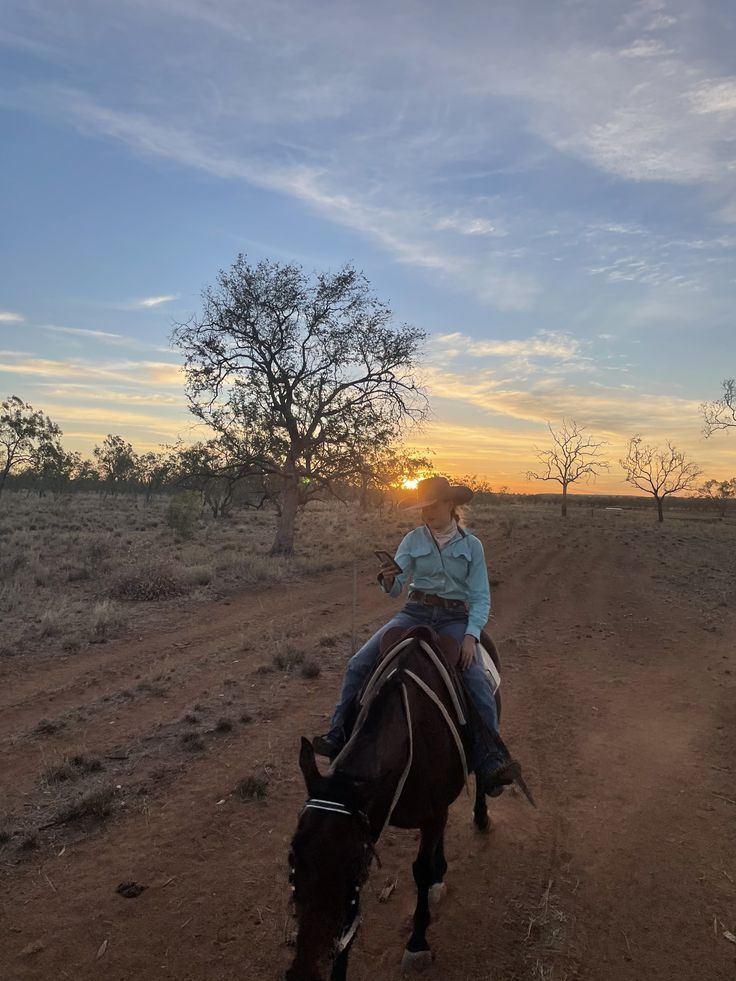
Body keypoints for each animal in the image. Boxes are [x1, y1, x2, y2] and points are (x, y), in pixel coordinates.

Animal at [284, 628, 474, 980]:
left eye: (355, 867)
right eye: (292, 856)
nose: (305, 972)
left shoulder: (431, 814)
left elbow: (420, 870)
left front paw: (417, 943)